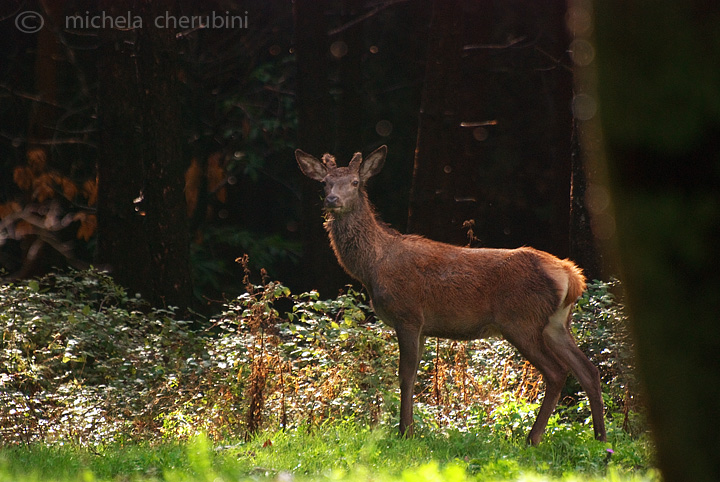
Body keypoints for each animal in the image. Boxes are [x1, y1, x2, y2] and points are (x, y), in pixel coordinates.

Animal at [296, 145, 604, 446]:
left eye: (355, 182)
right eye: (324, 182)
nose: (332, 199)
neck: (373, 267)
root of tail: (571, 276)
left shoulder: (408, 315)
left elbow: (405, 375)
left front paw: (405, 432)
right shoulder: (422, 327)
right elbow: (414, 374)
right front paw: (409, 428)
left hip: (521, 320)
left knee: (557, 372)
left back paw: (533, 438)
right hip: (556, 324)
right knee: (588, 370)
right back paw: (600, 438)